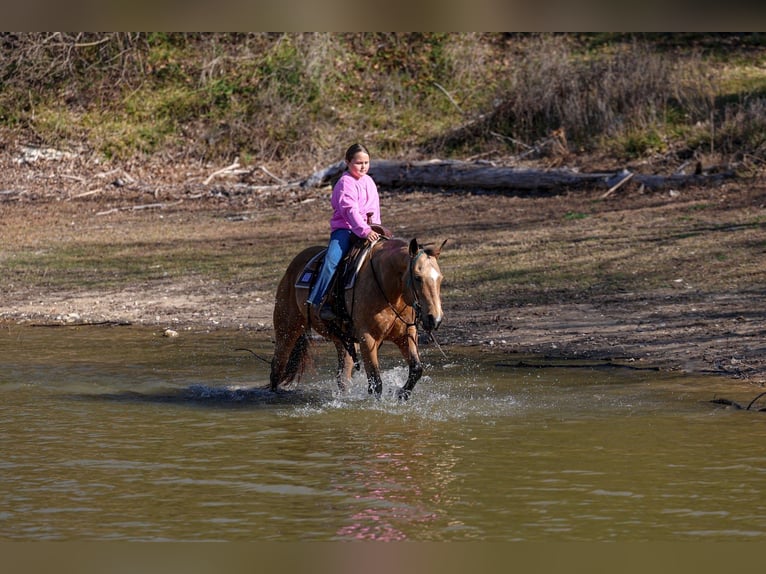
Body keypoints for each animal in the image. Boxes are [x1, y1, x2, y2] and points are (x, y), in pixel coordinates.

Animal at [269, 236, 445, 400]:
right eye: (417, 277)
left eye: (440, 278)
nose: (435, 319)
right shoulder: (367, 338)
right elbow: (376, 382)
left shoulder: (406, 334)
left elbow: (416, 369)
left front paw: (402, 394)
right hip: (287, 329)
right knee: (277, 367)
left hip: (342, 340)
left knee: (342, 377)